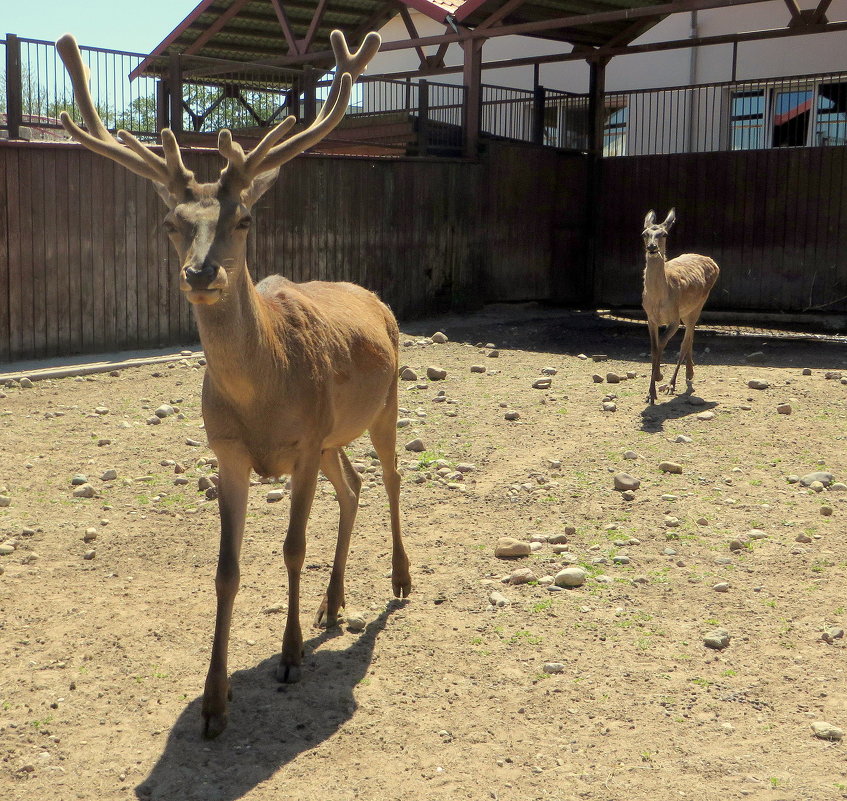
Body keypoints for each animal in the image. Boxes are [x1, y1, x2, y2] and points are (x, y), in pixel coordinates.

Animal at [54, 31, 412, 736]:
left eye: (243, 218)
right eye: (172, 222)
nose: (201, 273)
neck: (264, 399)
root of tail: (374, 299)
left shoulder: (301, 446)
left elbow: (293, 547)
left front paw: (291, 657)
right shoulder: (231, 453)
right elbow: (225, 570)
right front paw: (214, 702)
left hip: (383, 404)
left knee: (388, 476)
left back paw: (399, 581)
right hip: (333, 436)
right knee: (354, 484)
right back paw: (334, 604)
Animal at [644, 209, 724, 404]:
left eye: (664, 234)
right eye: (644, 234)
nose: (652, 247)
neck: (658, 300)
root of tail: (712, 262)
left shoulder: (674, 318)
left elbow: (662, 344)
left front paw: (659, 379)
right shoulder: (650, 318)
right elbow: (654, 347)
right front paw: (650, 393)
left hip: (698, 305)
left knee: (685, 342)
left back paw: (672, 384)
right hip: (688, 311)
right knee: (691, 336)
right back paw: (689, 372)